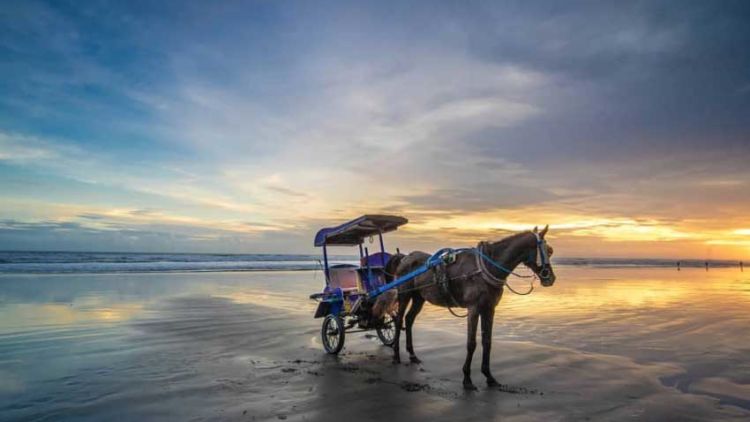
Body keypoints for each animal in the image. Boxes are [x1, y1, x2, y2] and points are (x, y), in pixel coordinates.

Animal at [390, 226, 556, 390]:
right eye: (548, 251)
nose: (551, 278)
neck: (487, 268)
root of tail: (405, 257)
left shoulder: (489, 309)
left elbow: (487, 342)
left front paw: (489, 376)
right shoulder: (474, 309)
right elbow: (471, 344)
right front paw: (467, 379)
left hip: (419, 297)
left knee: (409, 320)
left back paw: (412, 355)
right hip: (404, 294)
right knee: (399, 321)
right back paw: (396, 355)